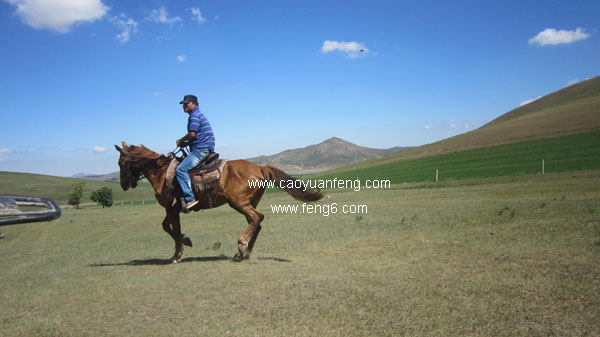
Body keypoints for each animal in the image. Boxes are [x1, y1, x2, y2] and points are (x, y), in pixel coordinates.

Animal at [116, 140, 324, 262]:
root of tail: (259, 167)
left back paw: (241, 246)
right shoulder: (171, 209)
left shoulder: (172, 209)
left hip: (238, 203)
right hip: (249, 202)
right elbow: (167, 227)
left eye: (121, 162)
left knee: (257, 218)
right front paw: (186, 241)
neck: (161, 173)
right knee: (256, 222)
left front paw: (177, 254)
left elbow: (173, 230)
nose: (124, 185)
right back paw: (244, 252)